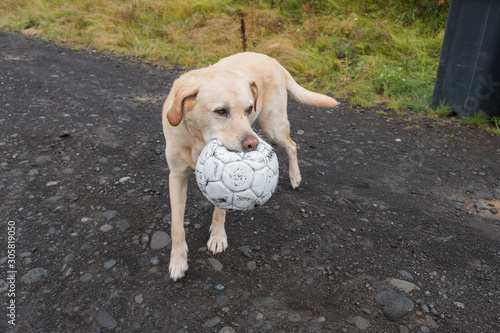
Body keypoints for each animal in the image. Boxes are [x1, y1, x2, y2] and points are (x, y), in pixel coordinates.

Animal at [162, 52, 338, 280]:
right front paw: (178, 261)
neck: (197, 139)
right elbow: (176, 225)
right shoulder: (176, 176)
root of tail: (272, 59)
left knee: (292, 145)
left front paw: (217, 237)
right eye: (221, 111)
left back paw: (295, 176)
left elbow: (220, 210)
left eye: (247, 109)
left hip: (273, 126)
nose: (252, 144)